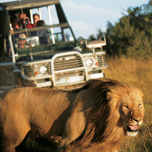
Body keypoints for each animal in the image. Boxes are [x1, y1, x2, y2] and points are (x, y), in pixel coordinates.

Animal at [0, 79, 145, 151]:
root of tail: (2, 95)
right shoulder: (66, 140)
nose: (138, 120)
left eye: (139, 105)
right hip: (11, 140)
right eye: (126, 106)